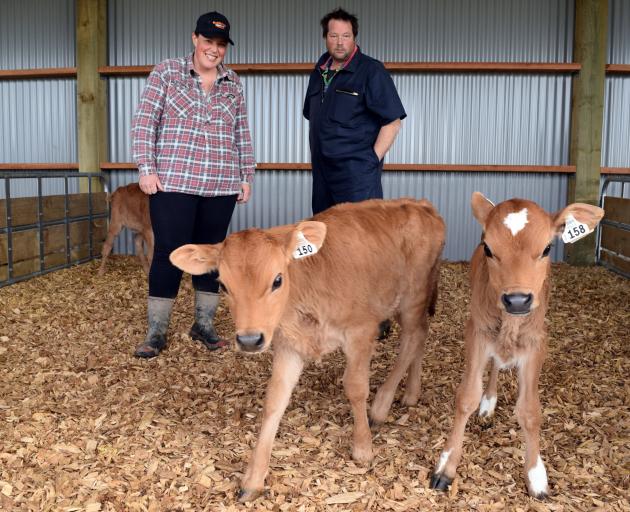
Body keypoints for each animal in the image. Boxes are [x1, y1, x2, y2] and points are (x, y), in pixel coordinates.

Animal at [170, 198, 446, 502]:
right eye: (223, 285)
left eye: (277, 280)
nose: (250, 339)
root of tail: (420, 204)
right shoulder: (288, 344)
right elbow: (275, 399)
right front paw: (254, 478)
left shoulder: (361, 330)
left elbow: (355, 387)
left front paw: (363, 447)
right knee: (420, 337)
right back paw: (411, 393)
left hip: (413, 296)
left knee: (413, 338)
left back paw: (380, 408)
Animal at [432, 190, 604, 498]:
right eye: (488, 247)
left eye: (547, 248)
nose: (517, 299)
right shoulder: (476, 332)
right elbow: (466, 398)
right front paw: (445, 467)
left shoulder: (537, 343)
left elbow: (530, 411)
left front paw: (536, 475)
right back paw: (488, 404)